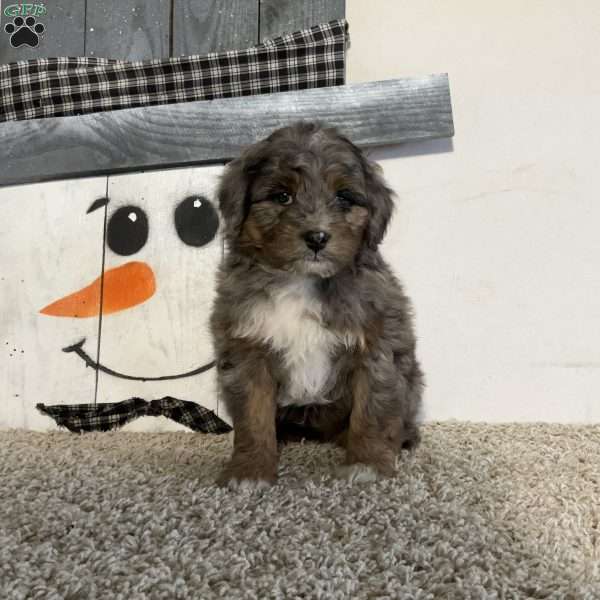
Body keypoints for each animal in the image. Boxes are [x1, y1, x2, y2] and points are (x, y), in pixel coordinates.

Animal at [210, 120, 422, 488]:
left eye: (344, 197)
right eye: (282, 196)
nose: (317, 237)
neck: (301, 281)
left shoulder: (377, 347)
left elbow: (373, 411)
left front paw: (366, 464)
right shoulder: (247, 351)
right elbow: (252, 417)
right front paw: (250, 470)